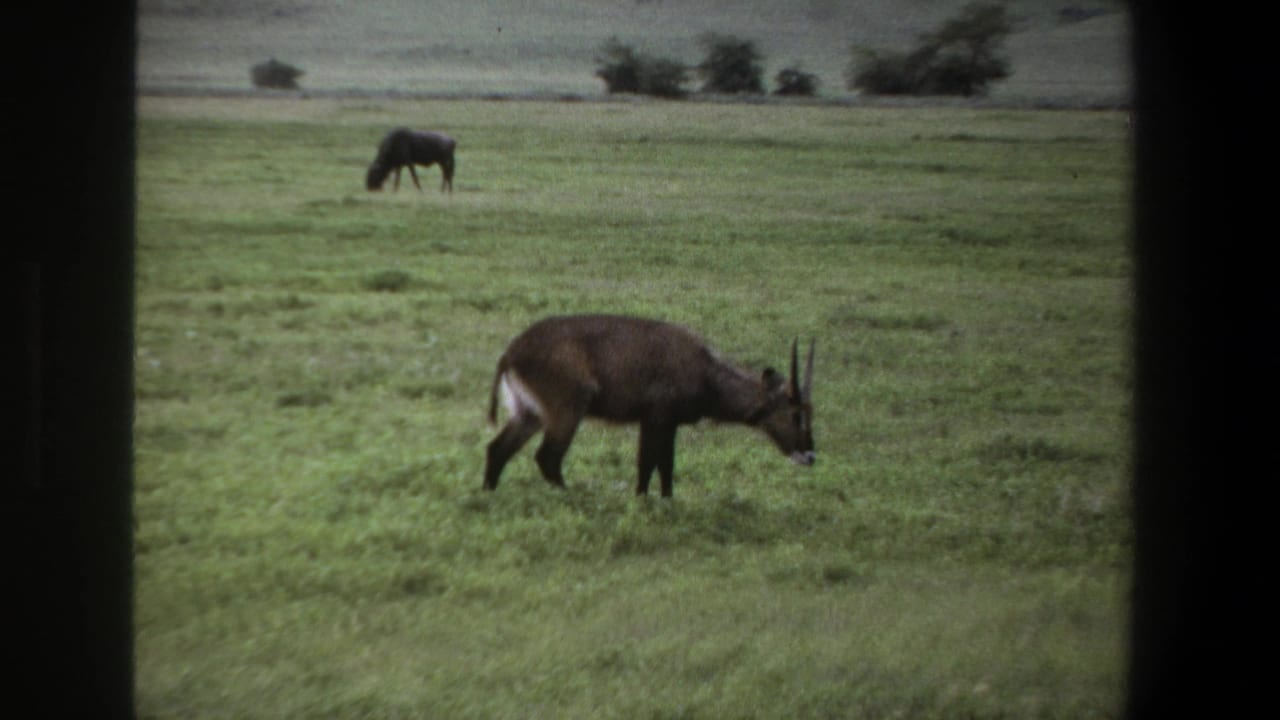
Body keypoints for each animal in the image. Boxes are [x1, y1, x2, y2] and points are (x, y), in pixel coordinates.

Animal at [483, 315, 815, 498]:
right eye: (796, 414)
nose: (810, 455)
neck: (705, 372)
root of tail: (510, 353)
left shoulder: (667, 423)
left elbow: (666, 467)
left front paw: (667, 503)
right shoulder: (655, 417)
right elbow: (647, 465)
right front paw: (641, 503)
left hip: (529, 414)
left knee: (497, 449)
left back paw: (488, 496)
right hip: (567, 411)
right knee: (547, 457)